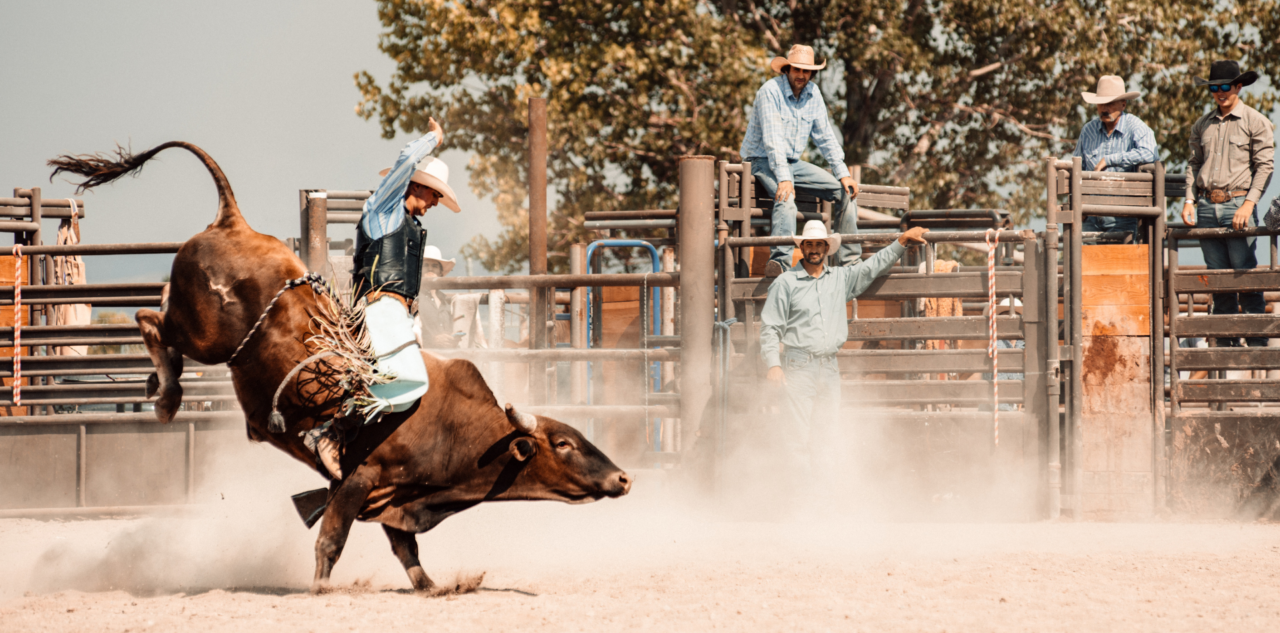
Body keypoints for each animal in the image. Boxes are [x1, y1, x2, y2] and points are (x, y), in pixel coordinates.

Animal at [48, 142, 629, 593]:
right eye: (565, 444)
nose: (623, 477)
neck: (454, 428)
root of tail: (234, 221)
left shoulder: (393, 497)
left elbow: (406, 551)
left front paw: (435, 586)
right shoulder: (360, 479)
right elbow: (331, 538)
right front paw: (321, 588)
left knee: (157, 314)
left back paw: (157, 384)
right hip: (206, 335)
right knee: (150, 320)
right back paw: (167, 396)